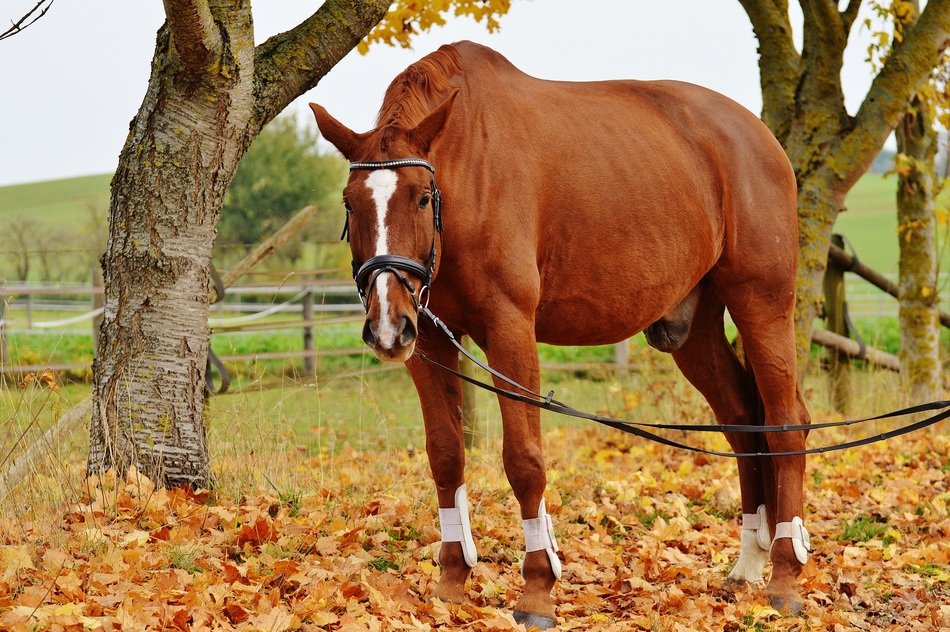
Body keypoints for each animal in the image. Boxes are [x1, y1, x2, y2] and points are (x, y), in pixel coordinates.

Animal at [310, 41, 811, 628]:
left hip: (763, 304)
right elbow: (446, 454)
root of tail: (759, 137)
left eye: (419, 197)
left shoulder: (509, 329)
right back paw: (749, 561)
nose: (387, 325)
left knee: (785, 425)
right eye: (350, 202)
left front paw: (537, 588)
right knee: (742, 424)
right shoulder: (428, 339)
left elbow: (524, 461)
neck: (467, 167)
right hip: (692, 332)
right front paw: (452, 580)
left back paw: (785, 573)